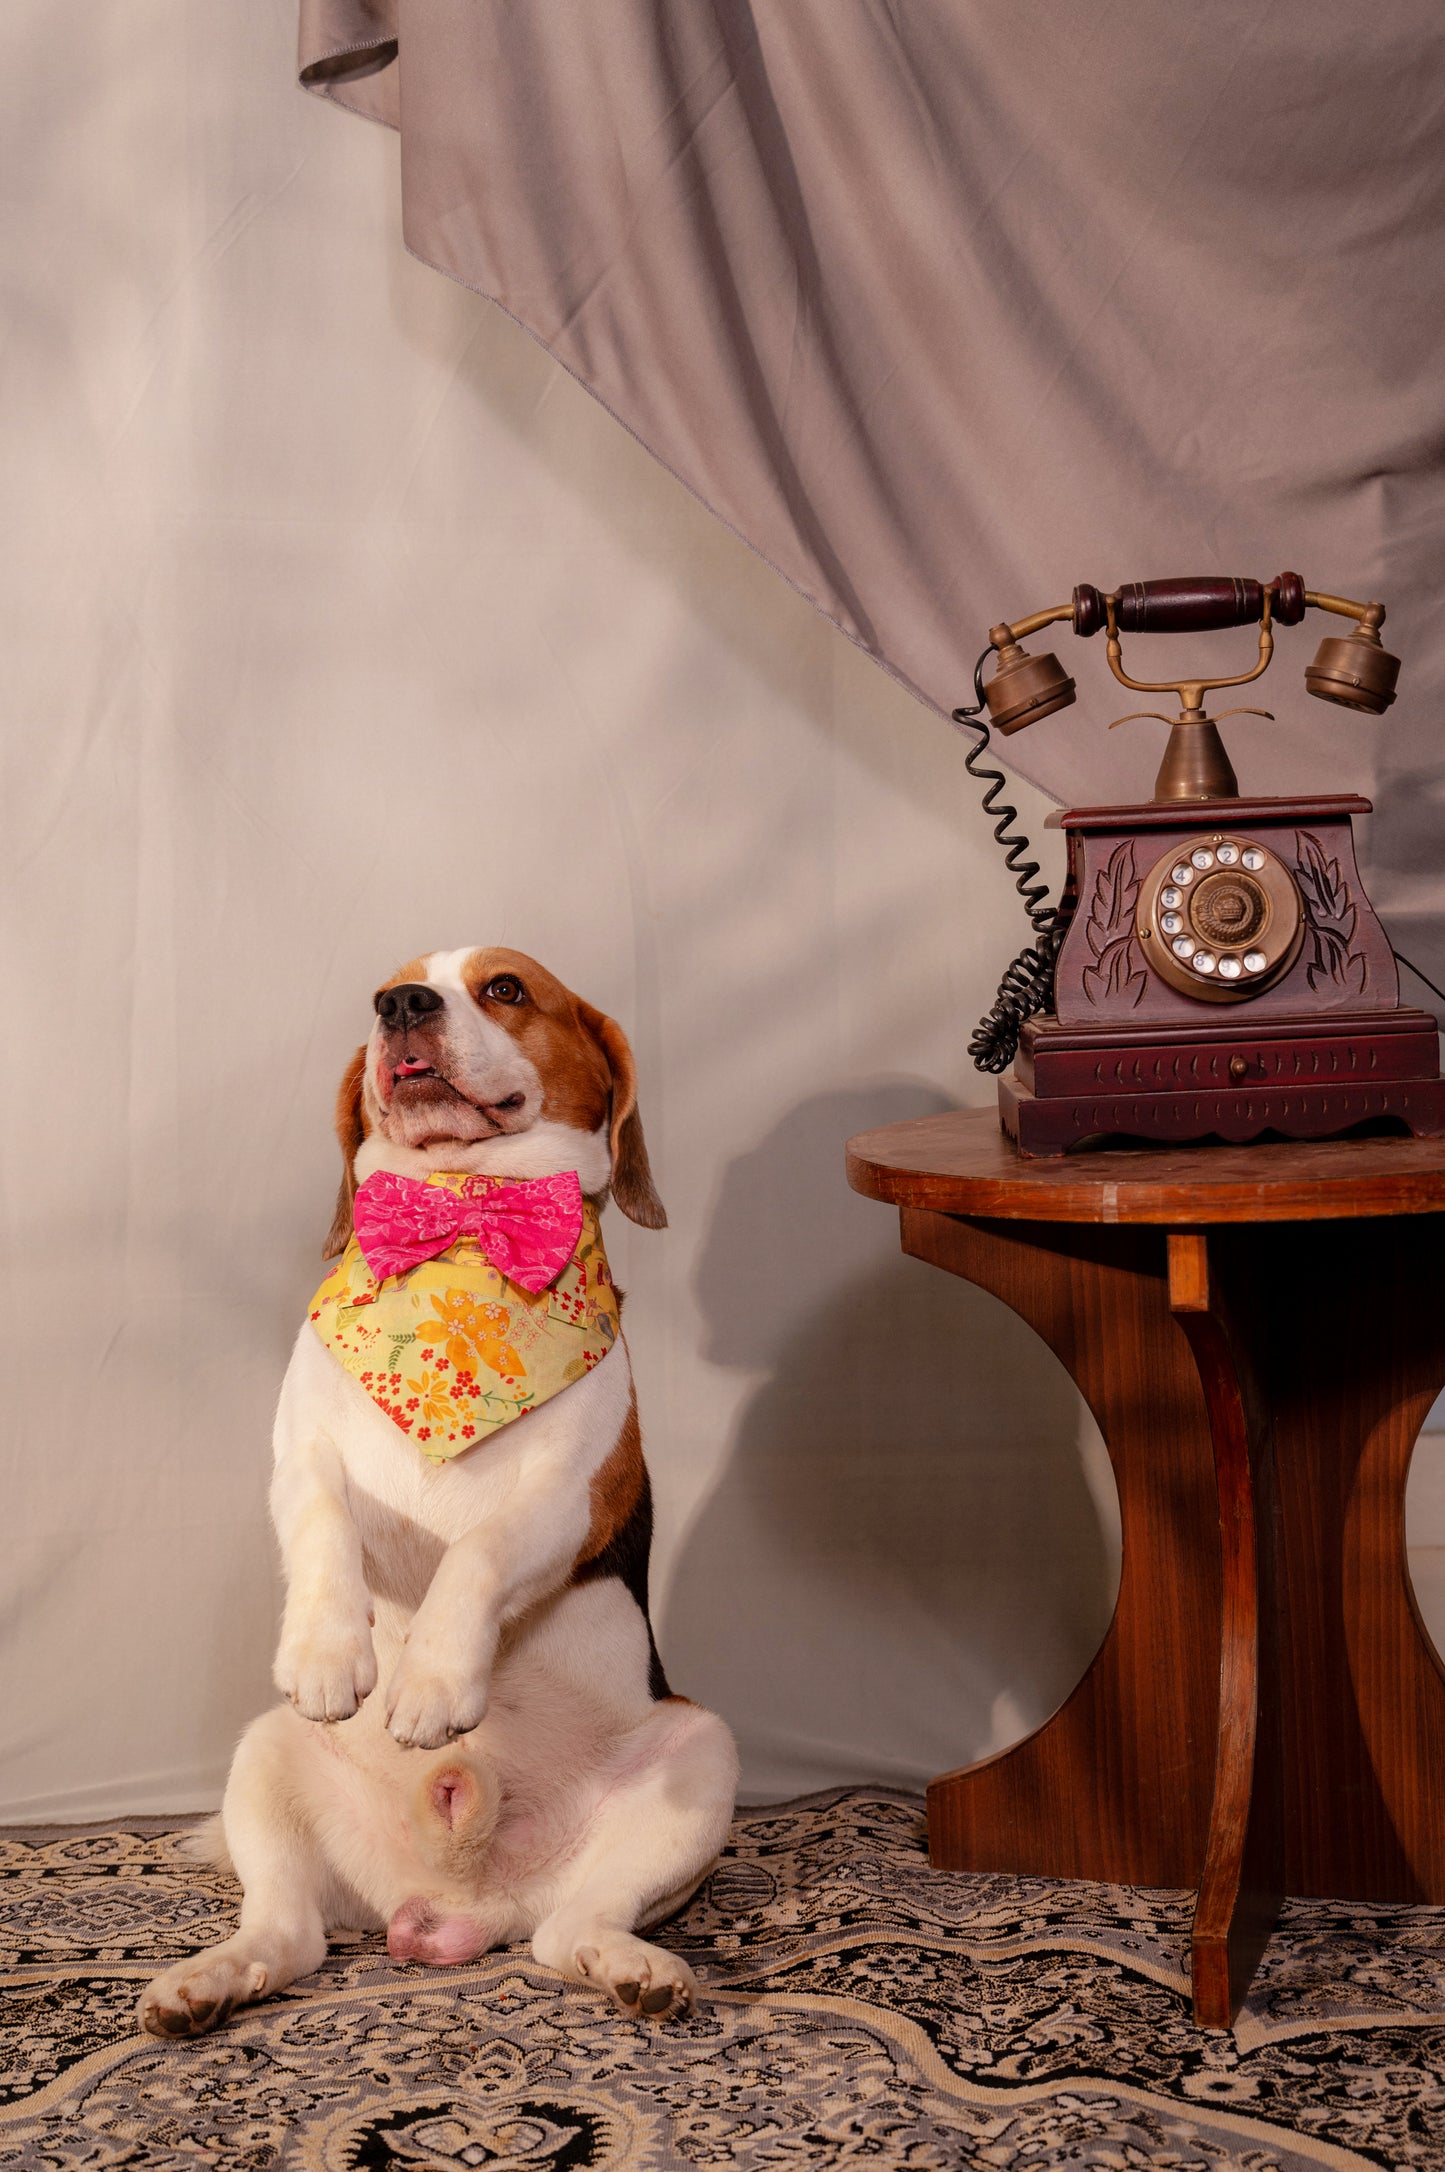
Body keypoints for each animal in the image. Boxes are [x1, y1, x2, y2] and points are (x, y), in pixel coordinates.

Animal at [137, 946, 734, 2032]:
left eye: (505, 989)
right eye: (387, 987)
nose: (400, 1006)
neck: (459, 1211)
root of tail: (455, 1893)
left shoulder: (573, 1492)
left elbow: (480, 1553)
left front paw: (429, 1685)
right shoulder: (299, 1452)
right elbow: (325, 1524)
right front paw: (331, 1654)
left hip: (699, 1753)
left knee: (569, 1933)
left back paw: (634, 1967)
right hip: (265, 1757)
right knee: (286, 1935)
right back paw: (208, 1981)